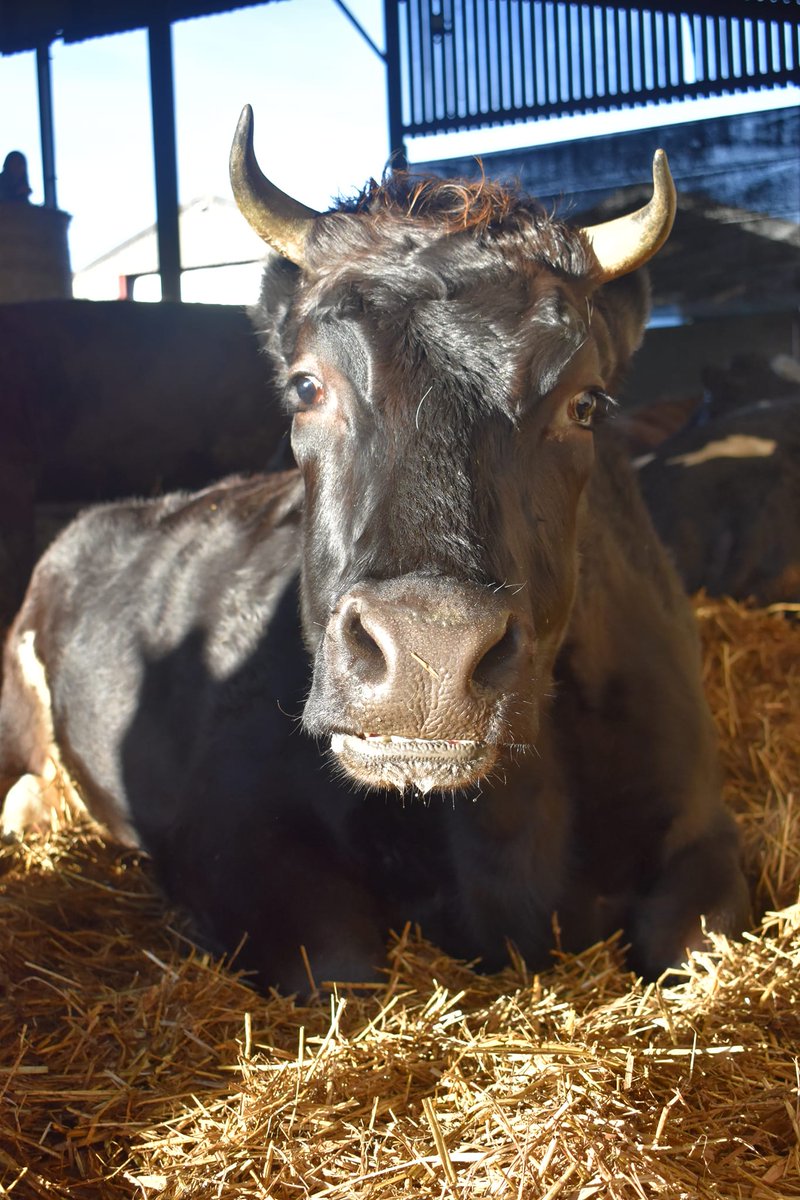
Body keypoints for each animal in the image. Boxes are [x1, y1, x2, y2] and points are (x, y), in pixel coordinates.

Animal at [0, 108, 749, 995]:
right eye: (306, 386)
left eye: (586, 404)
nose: (432, 656)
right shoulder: (226, 831)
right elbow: (338, 962)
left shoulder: (703, 824)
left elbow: (699, 944)